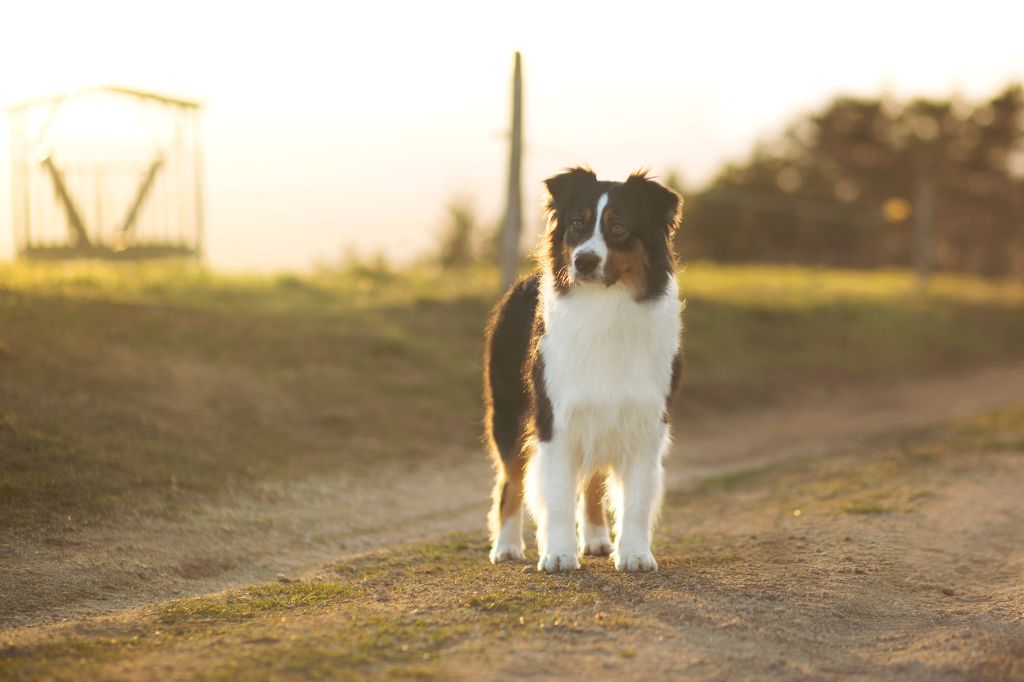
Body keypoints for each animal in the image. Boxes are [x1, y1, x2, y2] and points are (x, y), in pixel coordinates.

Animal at [485, 166, 684, 569]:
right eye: (577, 224)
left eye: (619, 226)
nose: (584, 261)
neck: (605, 305)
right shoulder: (556, 418)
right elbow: (558, 493)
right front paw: (559, 555)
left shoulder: (646, 420)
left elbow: (637, 498)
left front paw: (635, 553)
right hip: (509, 412)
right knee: (510, 480)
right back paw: (507, 546)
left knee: (592, 481)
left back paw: (595, 539)